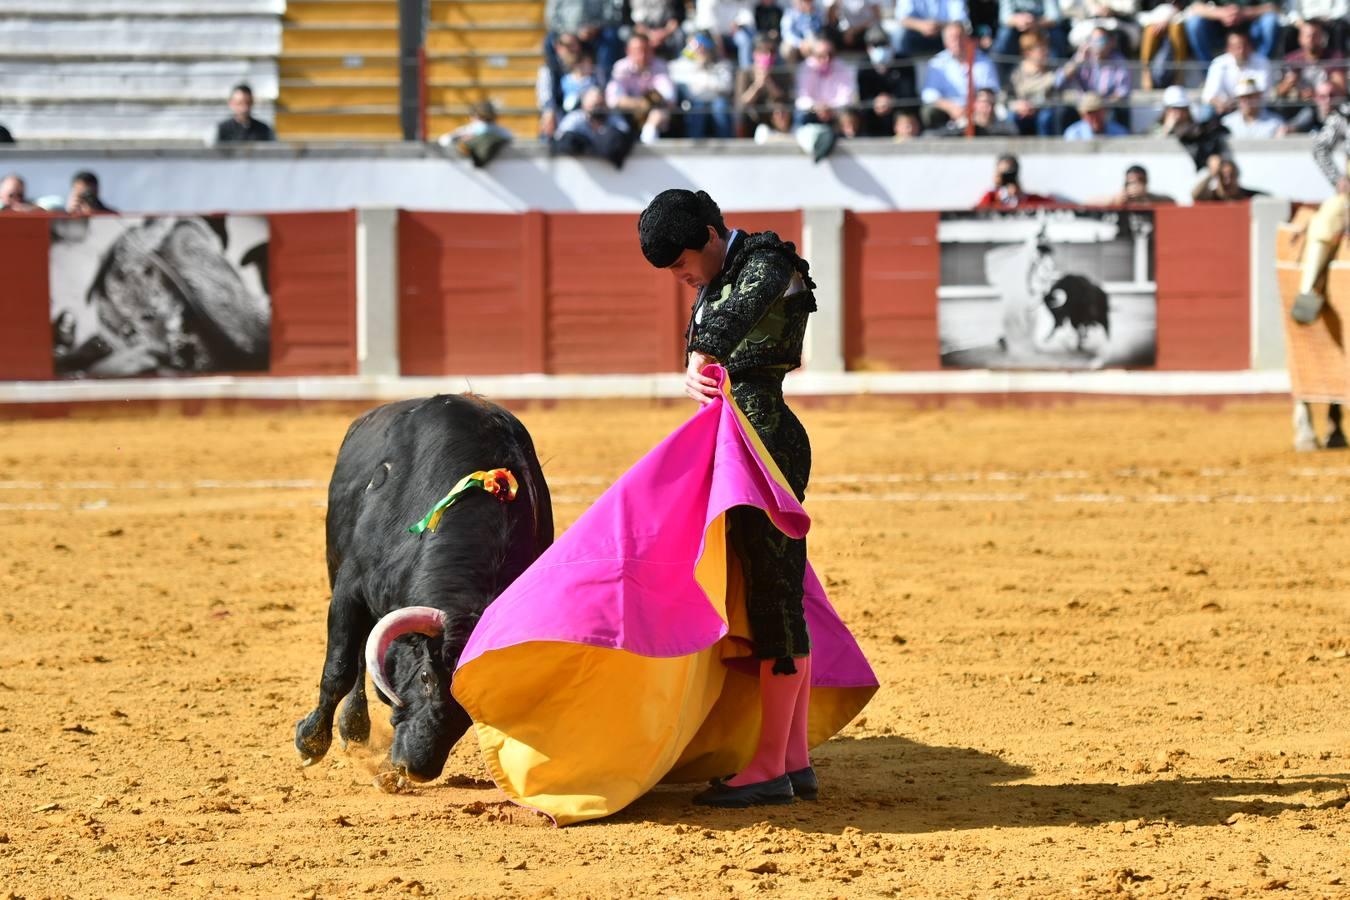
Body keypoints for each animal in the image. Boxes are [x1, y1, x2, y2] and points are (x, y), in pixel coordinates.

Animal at [292, 394, 550, 782]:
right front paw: (310, 743)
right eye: (427, 677)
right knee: (356, 661)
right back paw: (353, 728)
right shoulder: (349, 588)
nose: (416, 768)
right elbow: (338, 669)